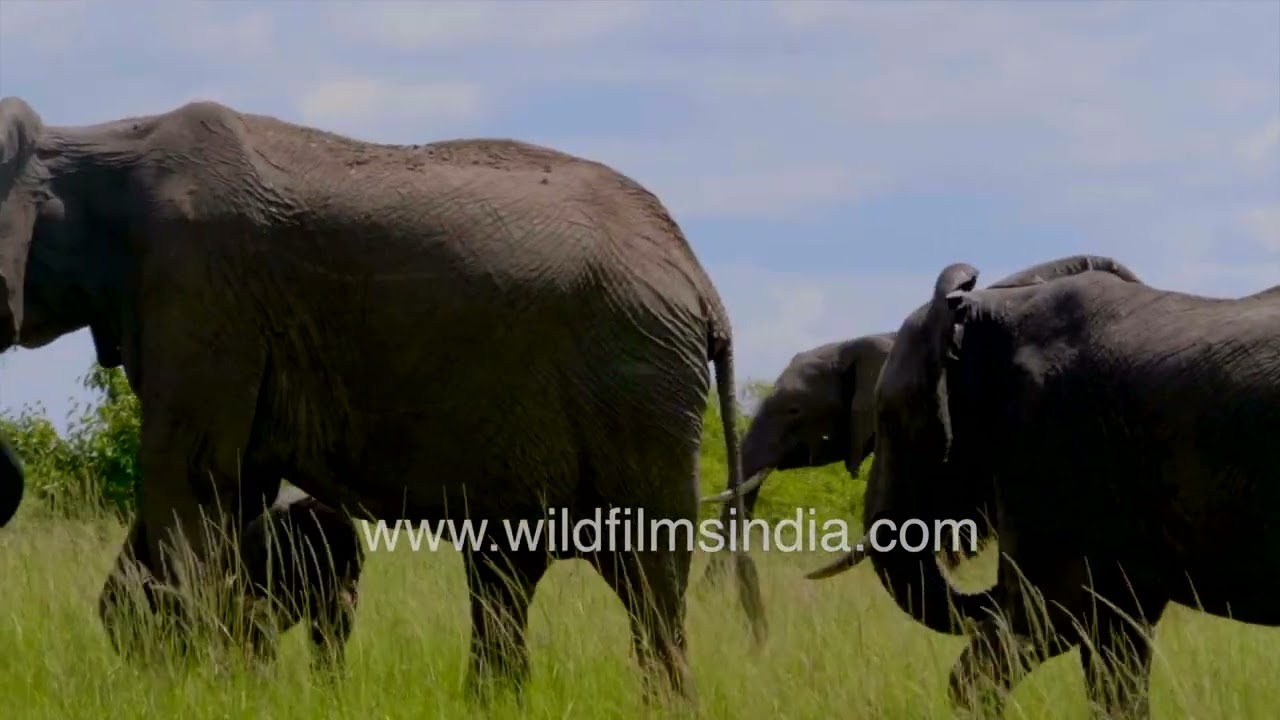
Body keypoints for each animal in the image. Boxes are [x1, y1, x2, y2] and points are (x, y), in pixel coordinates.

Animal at [0, 95, 765, 701]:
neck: (95, 145)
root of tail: (703, 285)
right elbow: (234, 483)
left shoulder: (200, 292)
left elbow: (191, 474)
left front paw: (182, 683)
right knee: (504, 568)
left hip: (637, 391)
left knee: (647, 580)